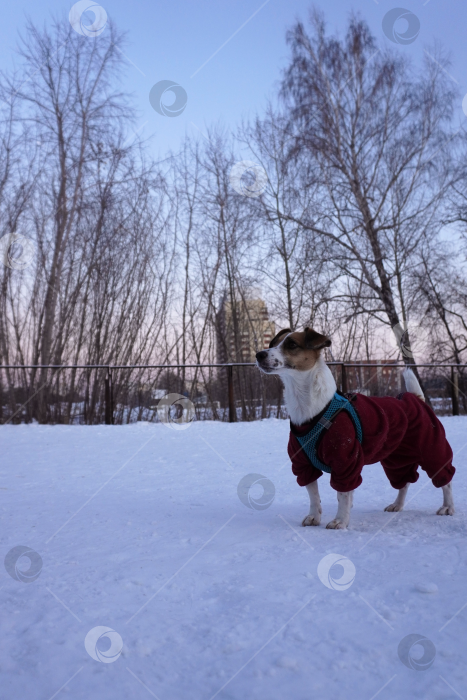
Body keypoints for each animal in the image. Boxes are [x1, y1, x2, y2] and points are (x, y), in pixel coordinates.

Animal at [256, 328, 458, 532]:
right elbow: (313, 494)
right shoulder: (303, 464)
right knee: (404, 481)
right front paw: (314, 516)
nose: (259, 354)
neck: (310, 408)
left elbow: (342, 494)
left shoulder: (345, 461)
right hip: (396, 458)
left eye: (291, 344)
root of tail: (415, 398)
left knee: (445, 479)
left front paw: (340, 520)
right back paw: (397, 505)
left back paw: (448, 507)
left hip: (432, 448)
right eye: (274, 343)